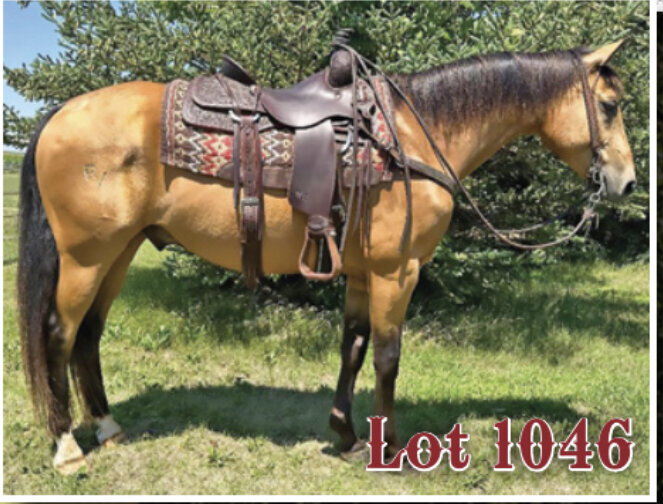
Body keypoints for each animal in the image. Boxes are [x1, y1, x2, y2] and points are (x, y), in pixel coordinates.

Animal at [17, 41, 635, 474]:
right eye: (609, 106)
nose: (627, 183)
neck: (416, 134)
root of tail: (58, 115)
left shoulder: (362, 273)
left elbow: (353, 347)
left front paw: (347, 434)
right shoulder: (397, 271)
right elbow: (387, 355)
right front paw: (390, 449)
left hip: (119, 253)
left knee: (89, 336)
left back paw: (107, 426)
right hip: (85, 257)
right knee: (58, 335)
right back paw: (67, 447)